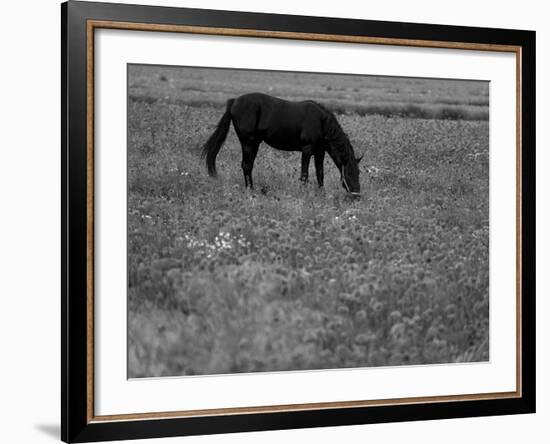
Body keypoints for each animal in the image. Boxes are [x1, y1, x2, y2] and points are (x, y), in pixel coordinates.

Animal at [201, 92, 364, 196]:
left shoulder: (320, 152)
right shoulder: (307, 150)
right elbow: (304, 174)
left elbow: (320, 174)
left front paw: (321, 194)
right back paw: (250, 191)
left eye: (358, 172)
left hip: (254, 144)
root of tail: (234, 102)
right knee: (246, 165)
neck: (321, 122)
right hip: (247, 142)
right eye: (349, 172)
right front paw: (303, 194)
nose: (356, 195)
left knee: (248, 166)